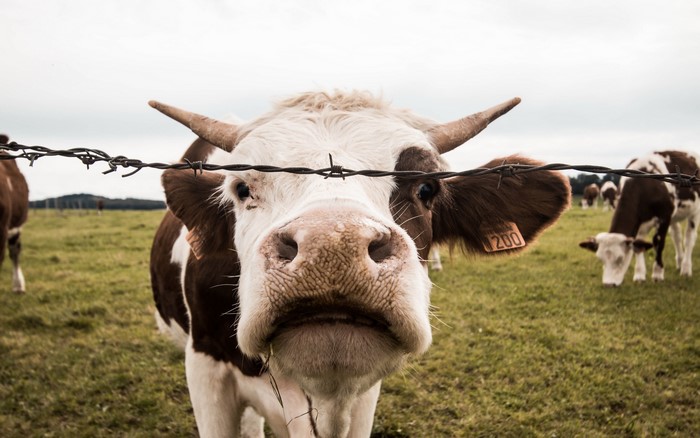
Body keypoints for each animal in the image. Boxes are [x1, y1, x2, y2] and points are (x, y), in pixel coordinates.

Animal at [579, 151, 700, 287]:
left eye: (620, 258)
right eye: (601, 259)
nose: (608, 284)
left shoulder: (664, 216)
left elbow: (659, 242)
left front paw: (657, 274)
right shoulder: (641, 222)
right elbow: (638, 245)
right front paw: (639, 275)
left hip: (695, 212)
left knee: (689, 239)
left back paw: (685, 269)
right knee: (677, 237)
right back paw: (679, 262)